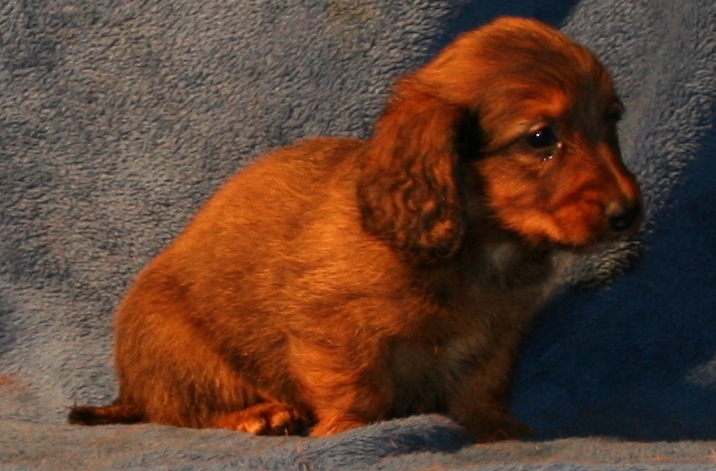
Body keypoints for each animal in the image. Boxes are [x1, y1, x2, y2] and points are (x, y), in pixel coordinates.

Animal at [68, 17, 641, 441]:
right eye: (541, 137)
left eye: (612, 120)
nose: (629, 213)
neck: (478, 250)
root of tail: (127, 392)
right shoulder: (336, 327)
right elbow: (357, 389)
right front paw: (349, 431)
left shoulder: (498, 337)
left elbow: (482, 385)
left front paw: (495, 428)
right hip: (183, 351)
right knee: (182, 413)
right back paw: (257, 415)